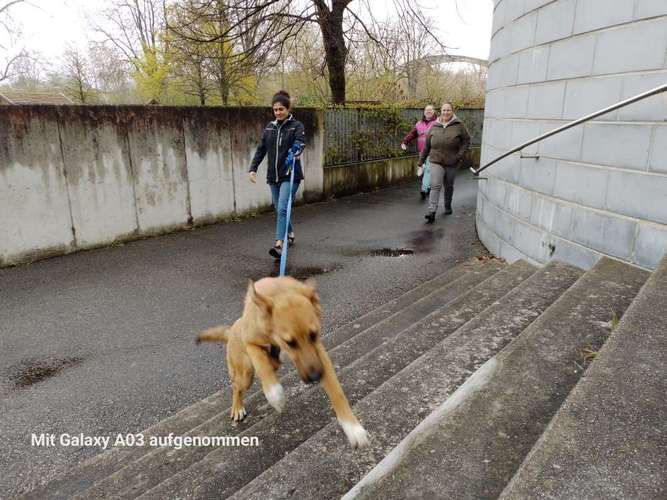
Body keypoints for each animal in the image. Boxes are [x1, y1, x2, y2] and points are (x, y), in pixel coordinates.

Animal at [196, 278, 370, 450]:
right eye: (290, 343)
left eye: (314, 335)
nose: (316, 377)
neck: (280, 291)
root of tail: (232, 329)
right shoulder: (251, 343)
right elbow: (262, 366)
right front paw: (276, 396)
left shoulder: (320, 355)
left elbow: (337, 391)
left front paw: (353, 428)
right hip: (245, 373)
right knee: (237, 385)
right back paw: (237, 407)